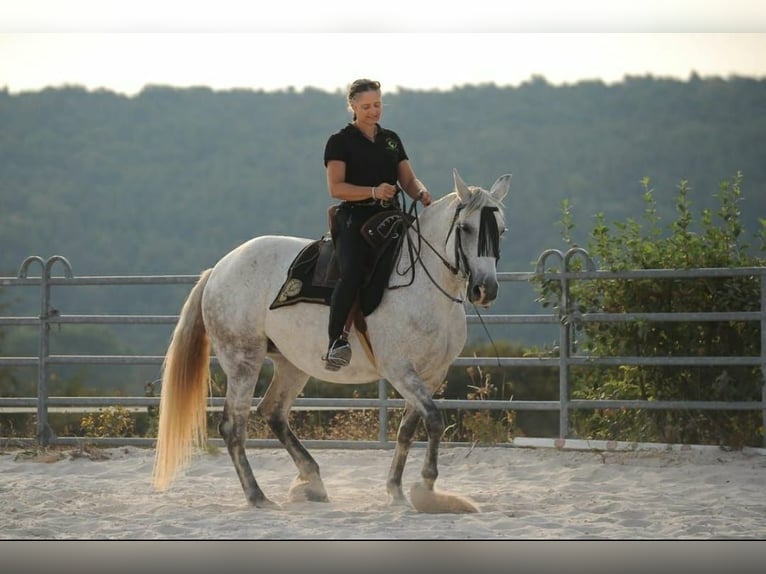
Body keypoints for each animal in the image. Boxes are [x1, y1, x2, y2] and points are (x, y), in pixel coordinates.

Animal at [153, 169, 512, 516]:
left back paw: (311, 481)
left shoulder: (433, 374)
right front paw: (427, 488)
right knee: (233, 426)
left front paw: (396, 490)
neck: (424, 284)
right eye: (465, 228)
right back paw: (258, 497)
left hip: (291, 364)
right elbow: (435, 420)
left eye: (502, 230)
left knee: (273, 412)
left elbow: (408, 429)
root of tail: (218, 270)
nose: (485, 290)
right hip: (243, 359)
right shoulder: (400, 370)